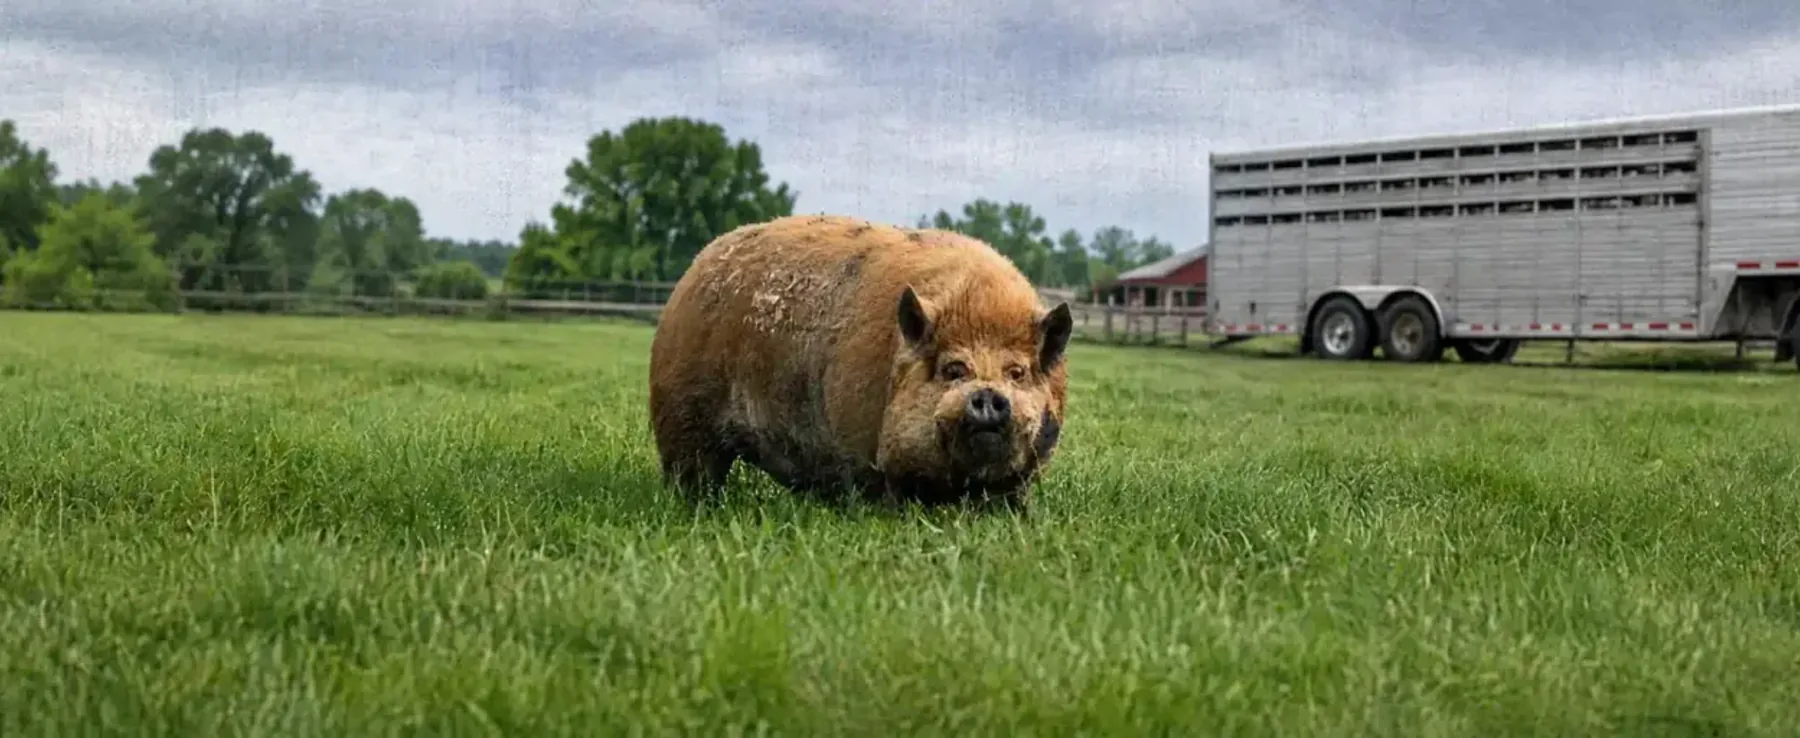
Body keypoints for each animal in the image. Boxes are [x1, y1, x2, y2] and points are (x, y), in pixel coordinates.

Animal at [647, 214, 1072, 511]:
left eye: (1016, 373)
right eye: (953, 370)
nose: (987, 395)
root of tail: (696, 267)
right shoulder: (858, 446)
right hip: (681, 411)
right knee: (692, 470)